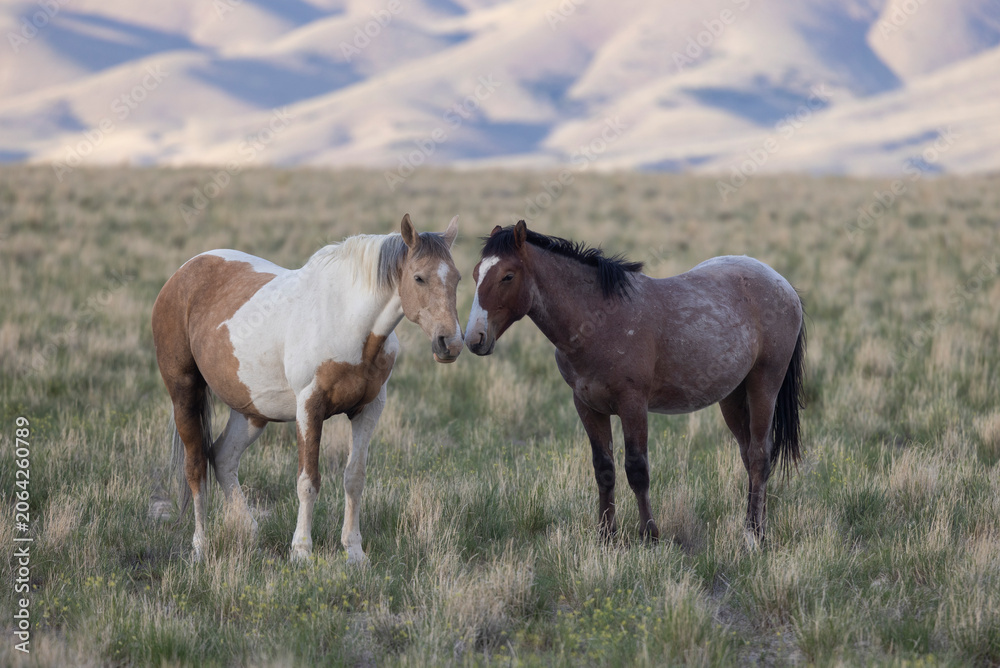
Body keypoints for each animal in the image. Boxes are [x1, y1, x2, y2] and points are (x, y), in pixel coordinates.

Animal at [152, 214, 463, 563]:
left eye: (458, 278)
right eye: (419, 278)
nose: (449, 343)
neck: (347, 321)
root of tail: (183, 272)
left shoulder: (369, 409)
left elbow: (354, 478)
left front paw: (354, 551)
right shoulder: (310, 406)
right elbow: (308, 481)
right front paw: (301, 551)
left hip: (250, 411)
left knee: (222, 457)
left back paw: (249, 531)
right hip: (184, 394)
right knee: (196, 468)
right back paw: (200, 547)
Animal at [464, 221, 805, 549]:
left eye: (507, 276)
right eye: (476, 273)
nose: (474, 338)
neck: (598, 321)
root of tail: (783, 283)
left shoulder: (633, 405)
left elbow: (637, 470)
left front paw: (650, 536)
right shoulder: (587, 406)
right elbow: (604, 470)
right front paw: (605, 537)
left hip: (763, 387)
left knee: (760, 456)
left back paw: (753, 536)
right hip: (732, 397)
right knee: (748, 456)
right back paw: (757, 528)